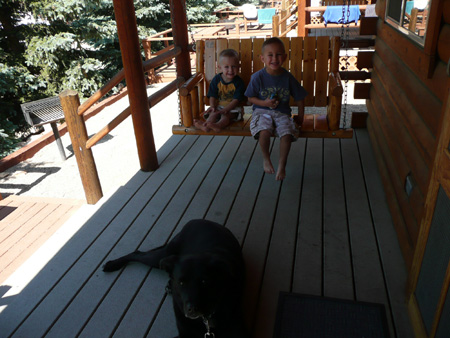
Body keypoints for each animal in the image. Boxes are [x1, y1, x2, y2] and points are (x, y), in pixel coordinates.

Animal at [102, 219, 246, 338]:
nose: (192, 309)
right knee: (138, 253)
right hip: (162, 256)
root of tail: (198, 220)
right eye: (181, 282)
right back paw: (112, 264)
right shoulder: (184, 334)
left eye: (204, 281)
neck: (206, 319)